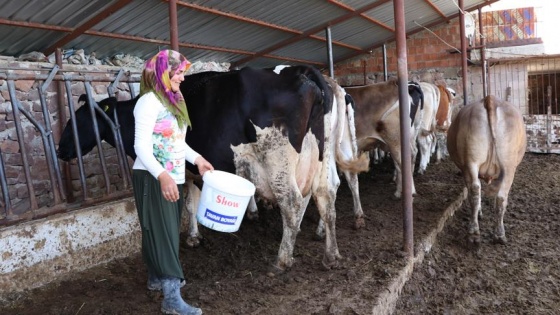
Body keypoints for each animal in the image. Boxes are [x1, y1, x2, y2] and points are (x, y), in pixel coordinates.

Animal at [59, 66, 370, 274]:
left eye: (77, 120)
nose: (61, 150)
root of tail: (308, 74)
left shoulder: (183, 170)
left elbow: (187, 204)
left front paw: (192, 237)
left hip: (279, 159)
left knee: (294, 201)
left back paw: (282, 261)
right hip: (320, 156)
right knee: (327, 192)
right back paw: (331, 253)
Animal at [446, 95, 524, 246]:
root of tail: (490, 99)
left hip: (474, 161)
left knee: (477, 191)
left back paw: (477, 233)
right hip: (507, 166)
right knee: (495, 195)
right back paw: (495, 234)